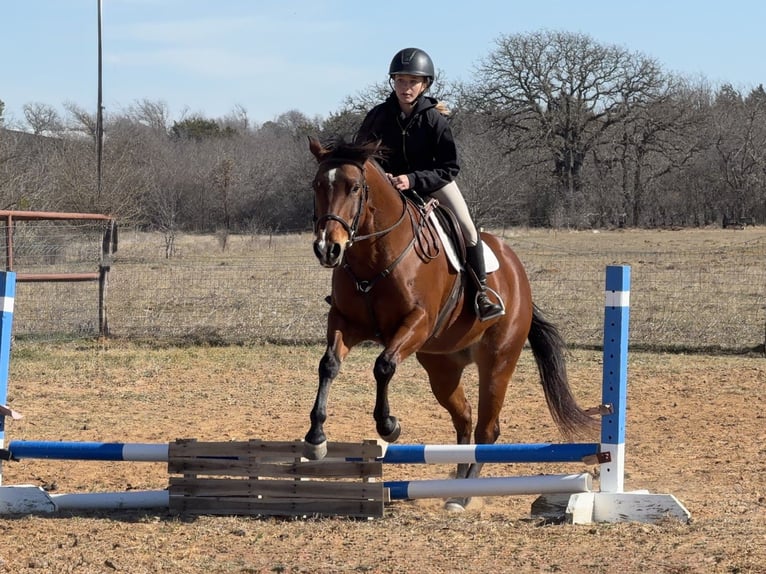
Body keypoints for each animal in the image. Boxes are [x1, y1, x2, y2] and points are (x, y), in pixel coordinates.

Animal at [304, 137, 596, 509]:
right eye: (317, 186)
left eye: (354, 187)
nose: (328, 248)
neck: (374, 255)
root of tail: (518, 271)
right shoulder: (345, 321)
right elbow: (328, 365)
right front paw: (316, 438)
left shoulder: (417, 323)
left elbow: (383, 366)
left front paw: (388, 425)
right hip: (442, 368)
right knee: (465, 417)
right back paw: (456, 481)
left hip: (498, 362)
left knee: (487, 429)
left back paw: (465, 495)